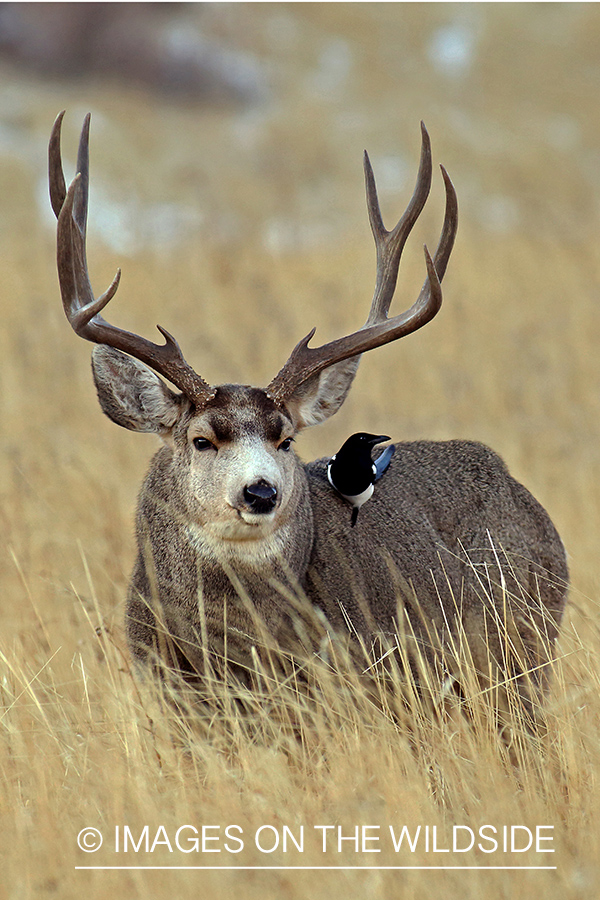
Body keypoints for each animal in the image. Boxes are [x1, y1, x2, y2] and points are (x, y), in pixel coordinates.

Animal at [50, 112, 568, 720]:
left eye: (286, 440)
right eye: (201, 439)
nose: (261, 492)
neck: (232, 649)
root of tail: (529, 503)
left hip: (521, 653)